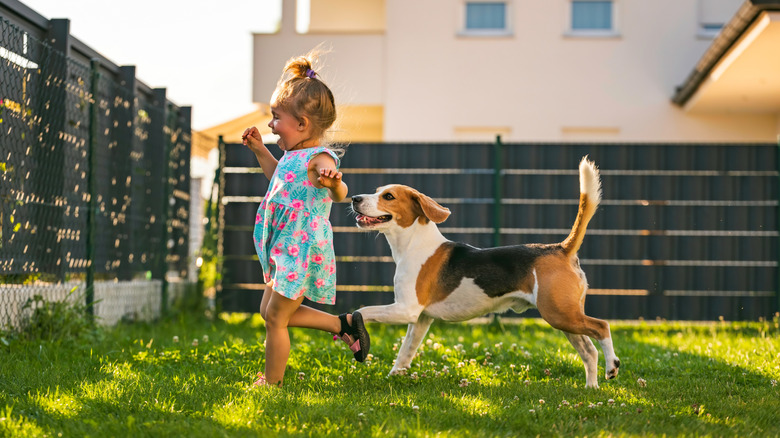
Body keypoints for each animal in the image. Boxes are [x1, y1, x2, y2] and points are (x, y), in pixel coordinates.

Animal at [350, 157, 620, 386]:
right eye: (377, 191)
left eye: (388, 196)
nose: (354, 198)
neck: (413, 243)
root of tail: (561, 248)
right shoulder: (421, 319)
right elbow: (405, 351)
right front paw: (394, 376)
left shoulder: (406, 309)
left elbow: (362, 311)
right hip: (564, 317)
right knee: (589, 351)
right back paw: (592, 388)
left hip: (560, 314)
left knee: (602, 327)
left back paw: (612, 366)